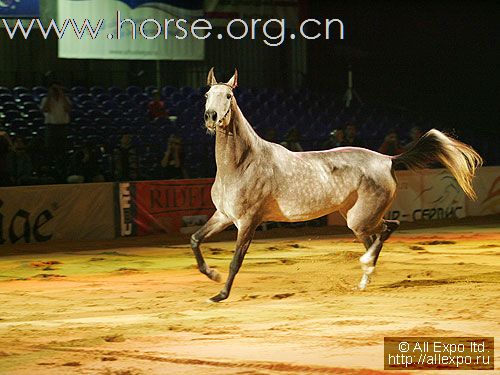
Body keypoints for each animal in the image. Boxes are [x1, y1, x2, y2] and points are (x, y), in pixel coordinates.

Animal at [189, 67, 482, 302]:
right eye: (206, 95)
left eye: (229, 96)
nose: (211, 117)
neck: (242, 164)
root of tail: (387, 159)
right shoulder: (225, 216)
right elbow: (195, 240)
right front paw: (212, 275)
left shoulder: (248, 221)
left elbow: (236, 260)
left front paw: (220, 294)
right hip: (357, 217)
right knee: (380, 235)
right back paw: (364, 280)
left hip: (361, 218)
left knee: (388, 229)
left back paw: (365, 267)